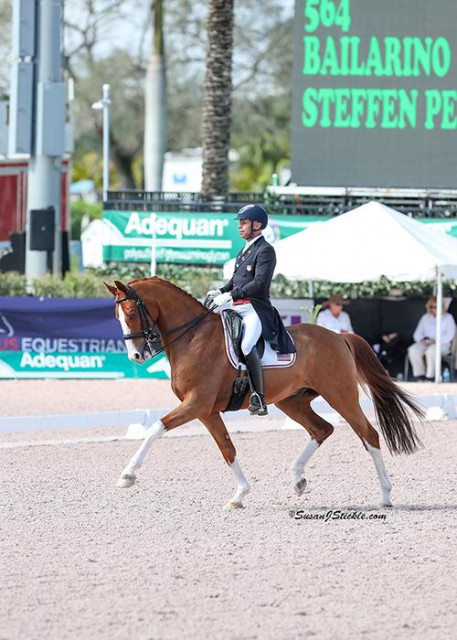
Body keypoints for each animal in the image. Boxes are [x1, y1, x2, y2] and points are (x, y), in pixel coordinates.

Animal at [105, 278, 422, 508]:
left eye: (131, 313)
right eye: (116, 315)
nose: (136, 355)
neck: (193, 338)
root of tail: (339, 336)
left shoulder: (196, 404)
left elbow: (155, 429)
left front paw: (127, 475)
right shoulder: (206, 411)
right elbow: (227, 449)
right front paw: (239, 495)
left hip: (340, 395)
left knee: (368, 435)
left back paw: (385, 495)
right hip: (291, 401)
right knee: (322, 429)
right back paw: (297, 480)